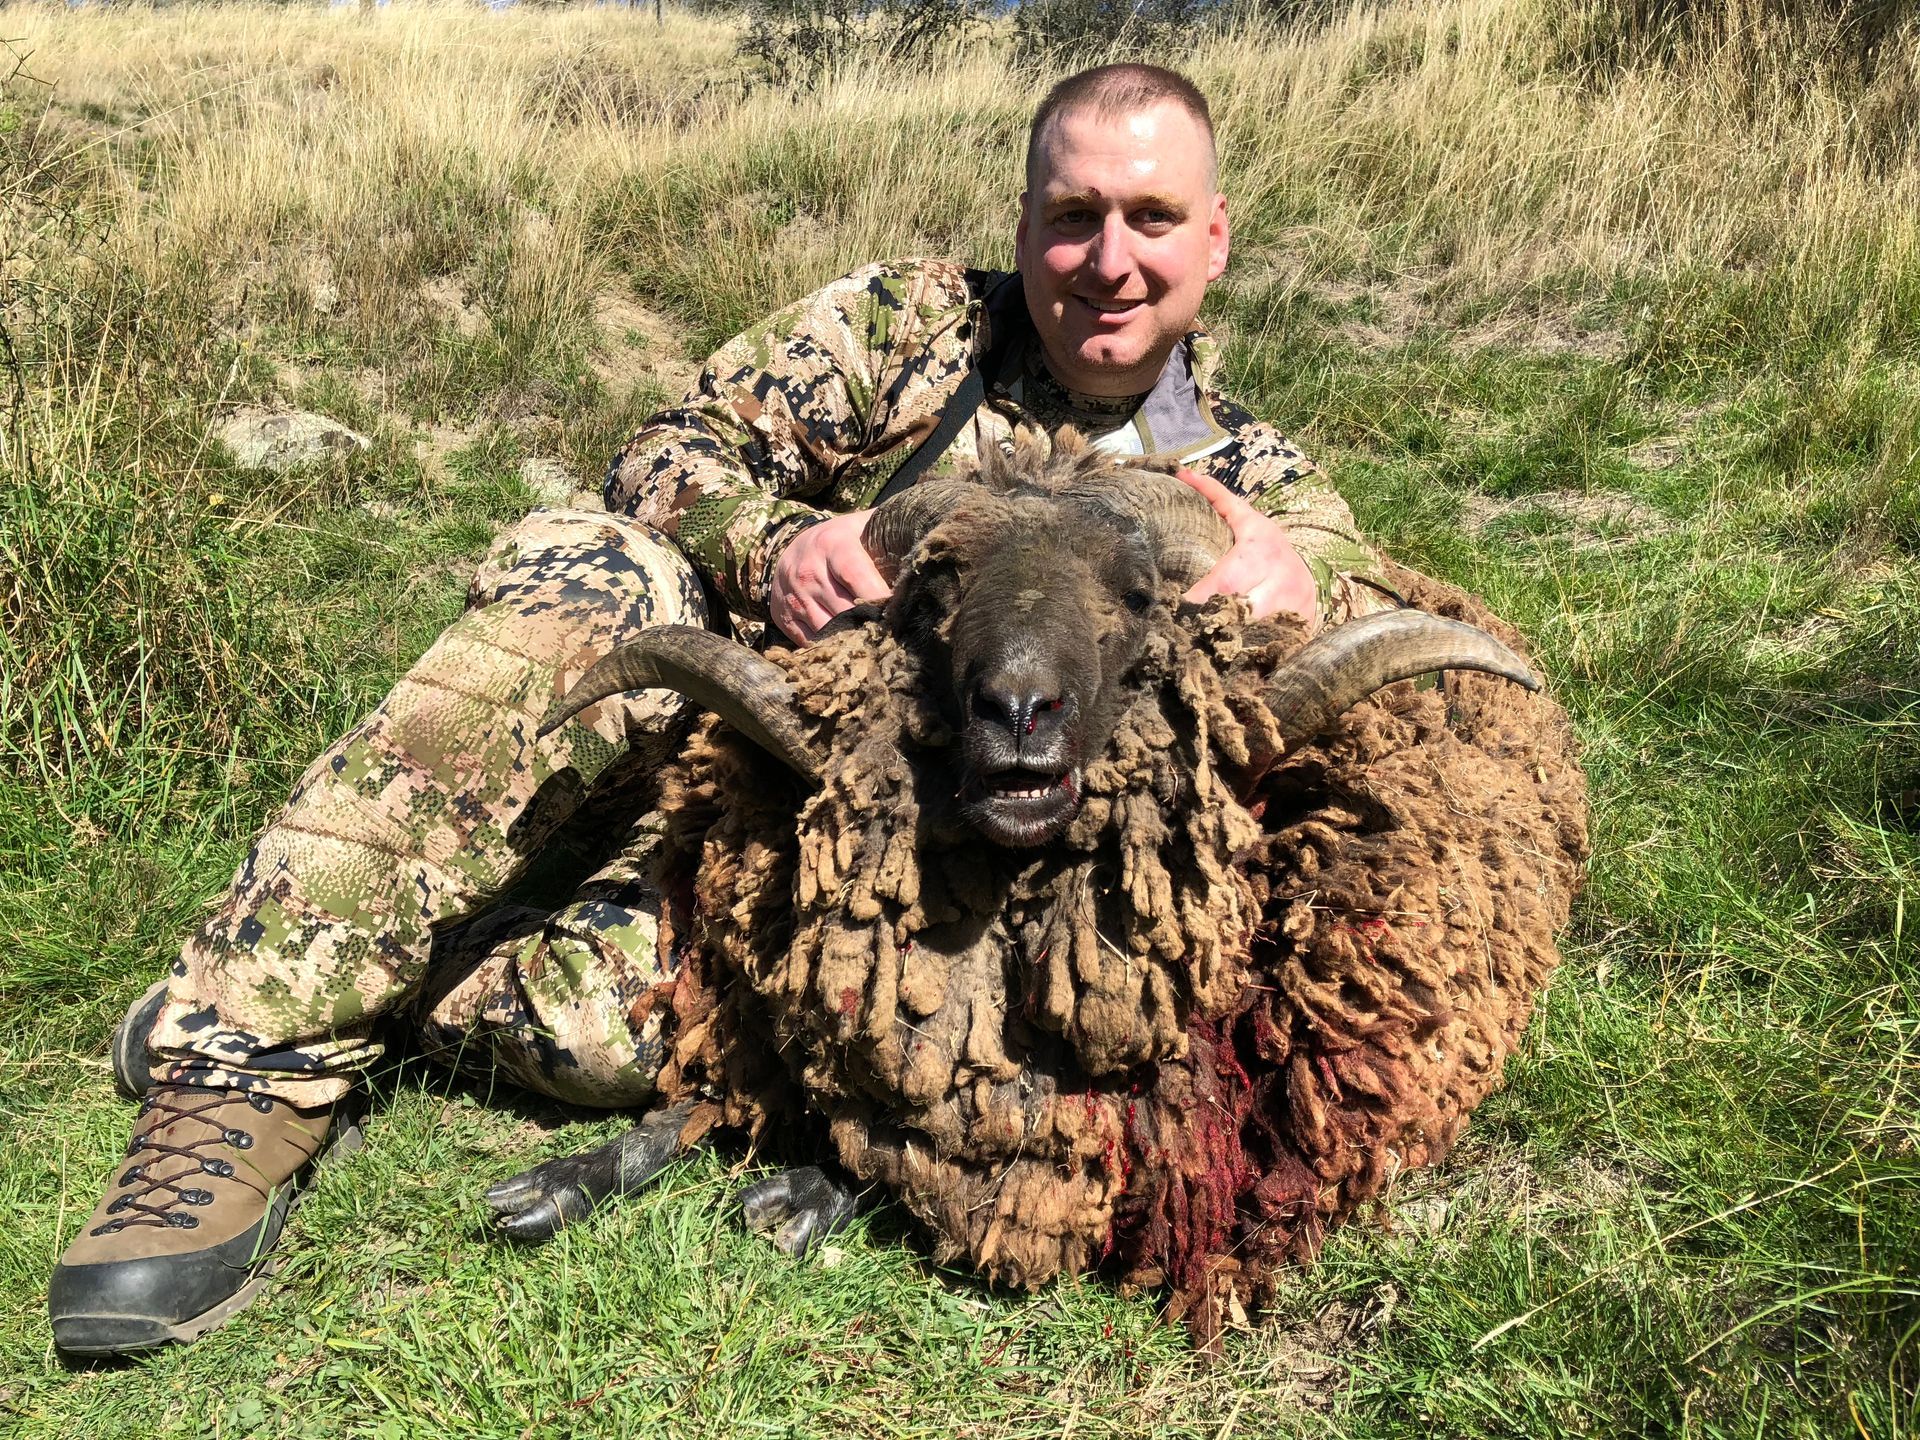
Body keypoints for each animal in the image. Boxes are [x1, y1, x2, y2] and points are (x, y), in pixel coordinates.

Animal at [486, 432, 1589, 1349]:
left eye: (1138, 594)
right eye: (935, 590)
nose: (1019, 709)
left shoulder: (1091, 1160)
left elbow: (921, 1166)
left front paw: (800, 1192)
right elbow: (697, 1106)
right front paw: (557, 1182)